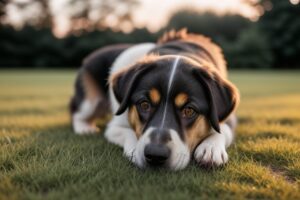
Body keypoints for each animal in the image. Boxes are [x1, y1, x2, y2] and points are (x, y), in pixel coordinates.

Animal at [69, 28, 239, 170]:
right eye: (144, 105)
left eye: (189, 110)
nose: (156, 155)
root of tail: (89, 57)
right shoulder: (115, 126)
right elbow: (128, 133)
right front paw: (135, 149)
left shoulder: (228, 119)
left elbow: (222, 129)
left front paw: (210, 148)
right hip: (90, 102)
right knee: (77, 112)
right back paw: (85, 128)